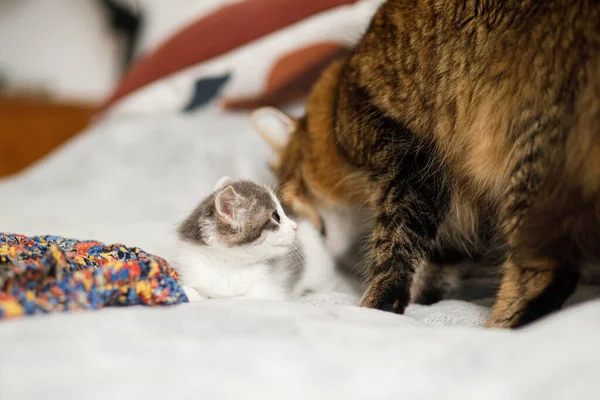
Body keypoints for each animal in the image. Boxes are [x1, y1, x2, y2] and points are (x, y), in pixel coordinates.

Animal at [252, 0, 600, 328]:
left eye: (291, 198)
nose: (304, 230)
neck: (339, 99)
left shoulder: (411, 162)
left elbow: (395, 250)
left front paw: (377, 306)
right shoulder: (467, 205)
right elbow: (438, 258)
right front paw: (424, 295)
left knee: (547, 277)